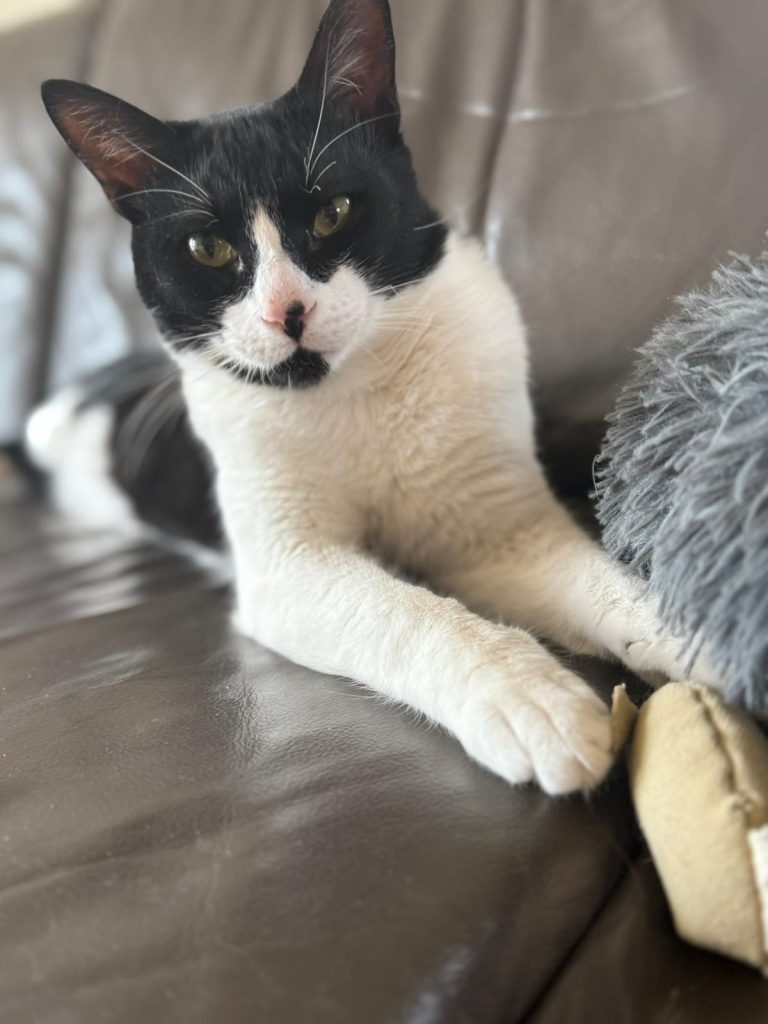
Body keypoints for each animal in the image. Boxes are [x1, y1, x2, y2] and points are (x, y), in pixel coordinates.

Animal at [32, 0, 715, 795]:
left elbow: (599, 582)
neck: (354, 389)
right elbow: (403, 611)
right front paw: (532, 701)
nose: (287, 313)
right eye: (208, 250)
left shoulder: (497, 531)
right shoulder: (288, 565)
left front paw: (710, 628)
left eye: (332, 212)